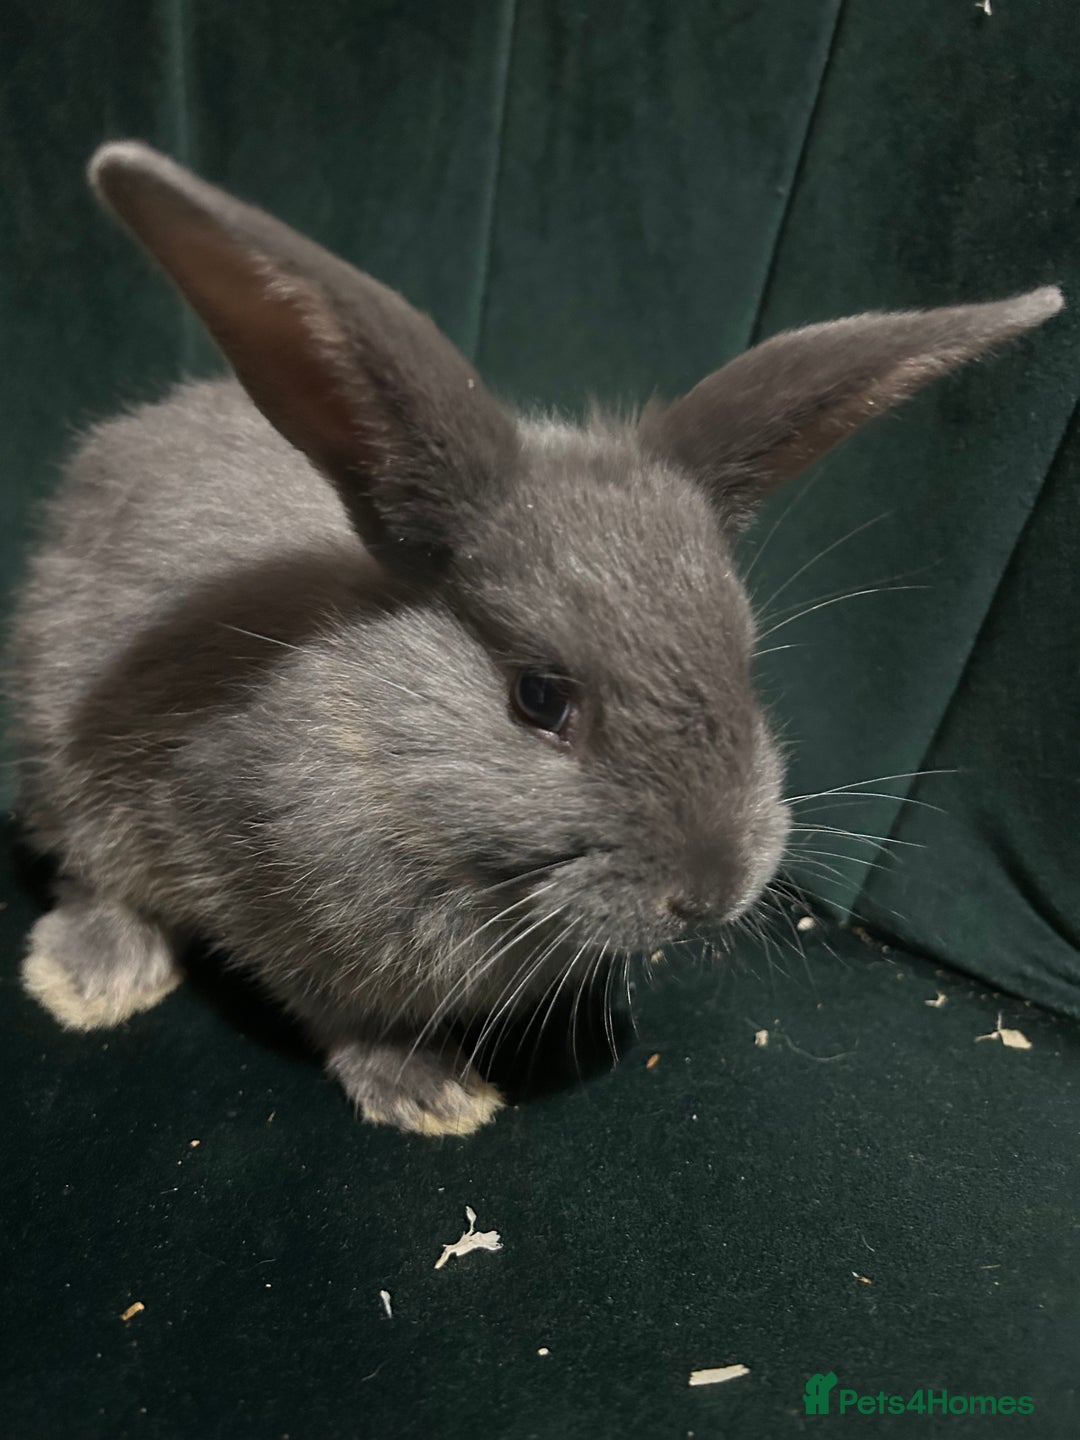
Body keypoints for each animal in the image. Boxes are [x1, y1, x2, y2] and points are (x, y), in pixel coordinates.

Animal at [9, 141, 1062, 1136]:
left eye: (746, 662)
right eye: (539, 698)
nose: (713, 891)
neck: (377, 749)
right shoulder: (263, 889)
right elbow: (338, 1010)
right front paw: (430, 1094)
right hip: (61, 755)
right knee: (88, 872)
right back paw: (89, 982)